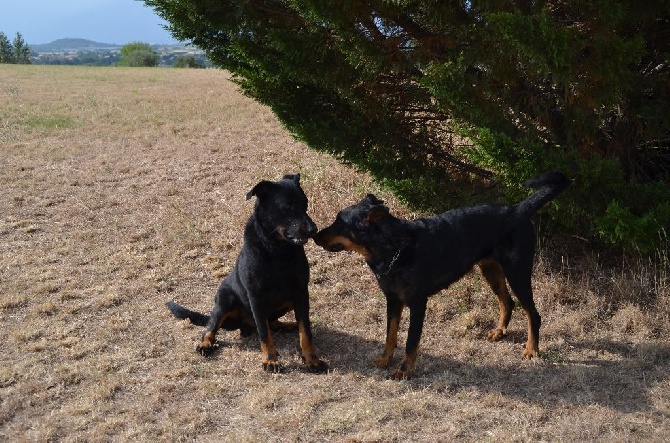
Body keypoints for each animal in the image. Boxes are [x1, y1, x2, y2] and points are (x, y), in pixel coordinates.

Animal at [165, 173, 328, 374]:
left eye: (305, 204)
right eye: (287, 207)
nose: (314, 230)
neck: (277, 250)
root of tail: (243, 325)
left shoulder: (301, 293)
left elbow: (305, 330)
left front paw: (311, 359)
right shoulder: (256, 296)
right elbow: (264, 334)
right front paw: (271, 360)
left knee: (271, 323)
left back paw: (287, 325)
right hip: (224, 301)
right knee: (212, 328)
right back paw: (205, 343)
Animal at [316, 172, 572, 380]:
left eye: (340, 222)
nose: (315, 234)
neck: (393, 248)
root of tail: (517, 210)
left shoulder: (418, 304)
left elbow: (410, 342)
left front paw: (404, 371)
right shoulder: (393, 300)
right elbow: (390, 335)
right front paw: (385, 360)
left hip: (517, 272)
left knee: (532, 313)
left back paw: (531, 349)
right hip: (491, 270)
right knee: (507, 302)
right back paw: (499, 331)